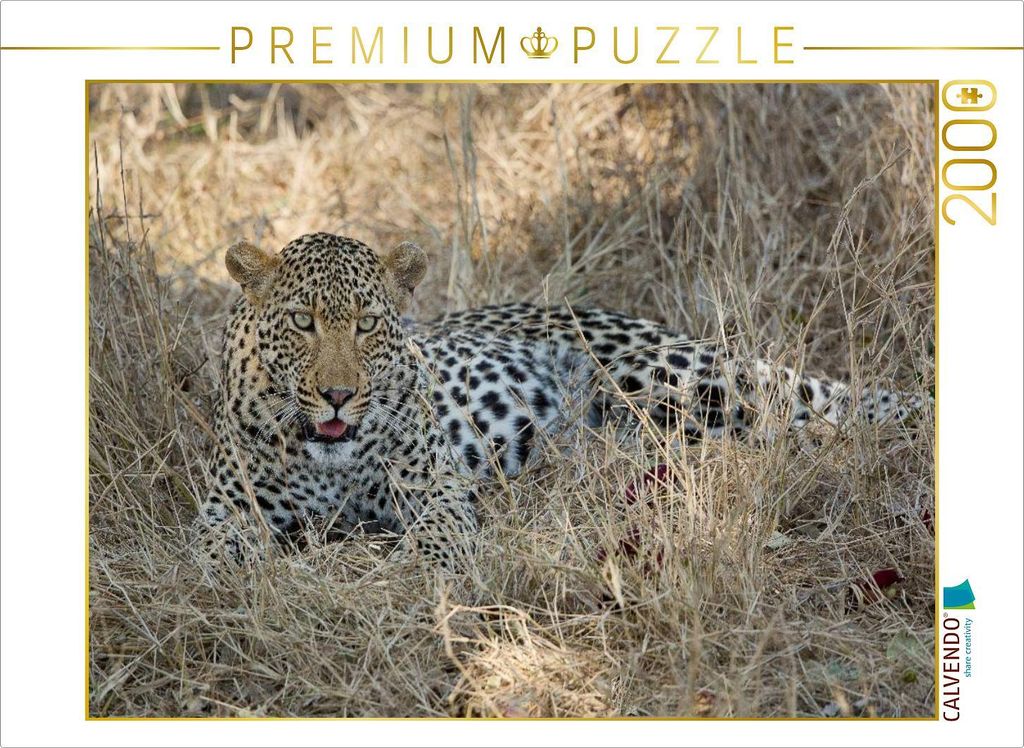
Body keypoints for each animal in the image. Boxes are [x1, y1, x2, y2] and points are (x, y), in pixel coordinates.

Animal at [197, 231, 926, 568]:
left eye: (368, 324)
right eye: (302, 321)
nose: (339, 395)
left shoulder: (435, 488)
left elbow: (437, 536)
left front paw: (414, 574)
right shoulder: (224, 508)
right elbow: (212, 551)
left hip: (672, 381)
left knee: (810, 414)